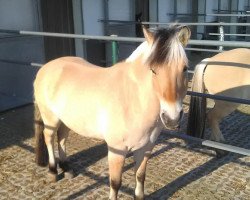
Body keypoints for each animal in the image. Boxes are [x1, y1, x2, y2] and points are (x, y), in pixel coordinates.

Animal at [34, 25, 190, 200]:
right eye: (153, 70)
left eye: (185, 68)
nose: (172, 118)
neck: (133, 100)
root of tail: (46, 67)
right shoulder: (117, 150)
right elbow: (115, 183)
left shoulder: (145, 148)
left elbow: (140, 176)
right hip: (51, 119)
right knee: (49, 138)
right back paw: (53, 172)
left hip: (66, 120)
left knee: (62, 138)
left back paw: (67, 169)